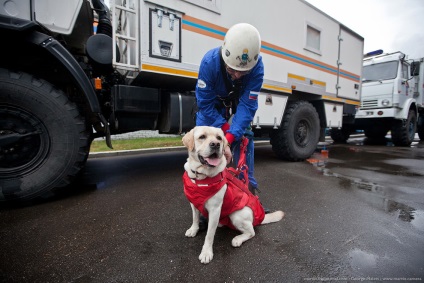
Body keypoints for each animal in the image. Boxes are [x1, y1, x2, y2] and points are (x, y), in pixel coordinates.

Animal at [181, 126, 284, 264]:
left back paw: (238, 239)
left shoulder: (215, 210)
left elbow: (209, 235)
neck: (200, 177)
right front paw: (193, 229)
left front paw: (206, 252)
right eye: (202, 137)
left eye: (219, 138)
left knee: (251, 232)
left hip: (237, 215)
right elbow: (195, 218)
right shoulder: (193, 203)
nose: (216, 144)